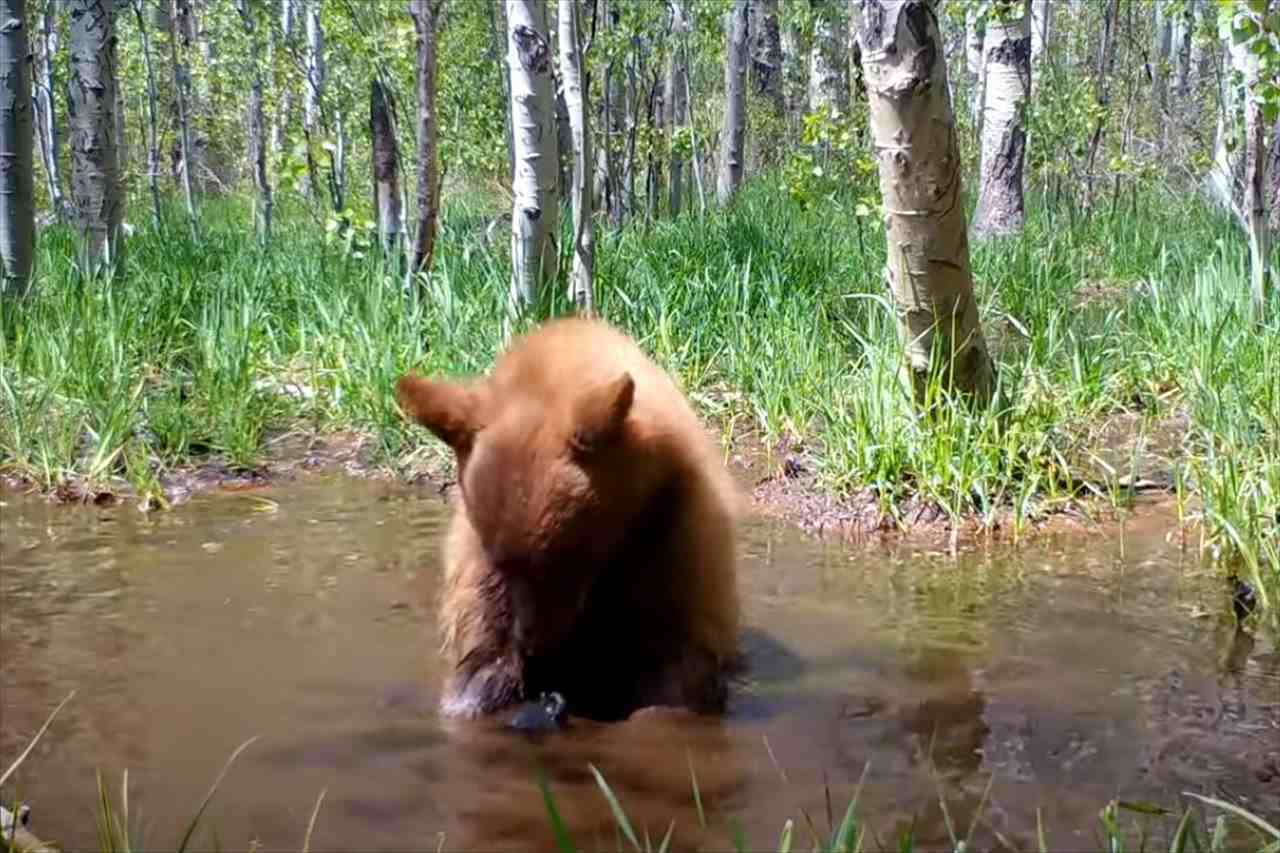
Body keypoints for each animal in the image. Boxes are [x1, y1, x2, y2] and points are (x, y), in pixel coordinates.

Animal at [396, 315, 742, 722]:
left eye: (567, 556)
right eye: (502, 563)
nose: (536, 648)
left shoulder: (672, 532)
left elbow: (674, 664)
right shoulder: (478, 562)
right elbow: (481, 645)